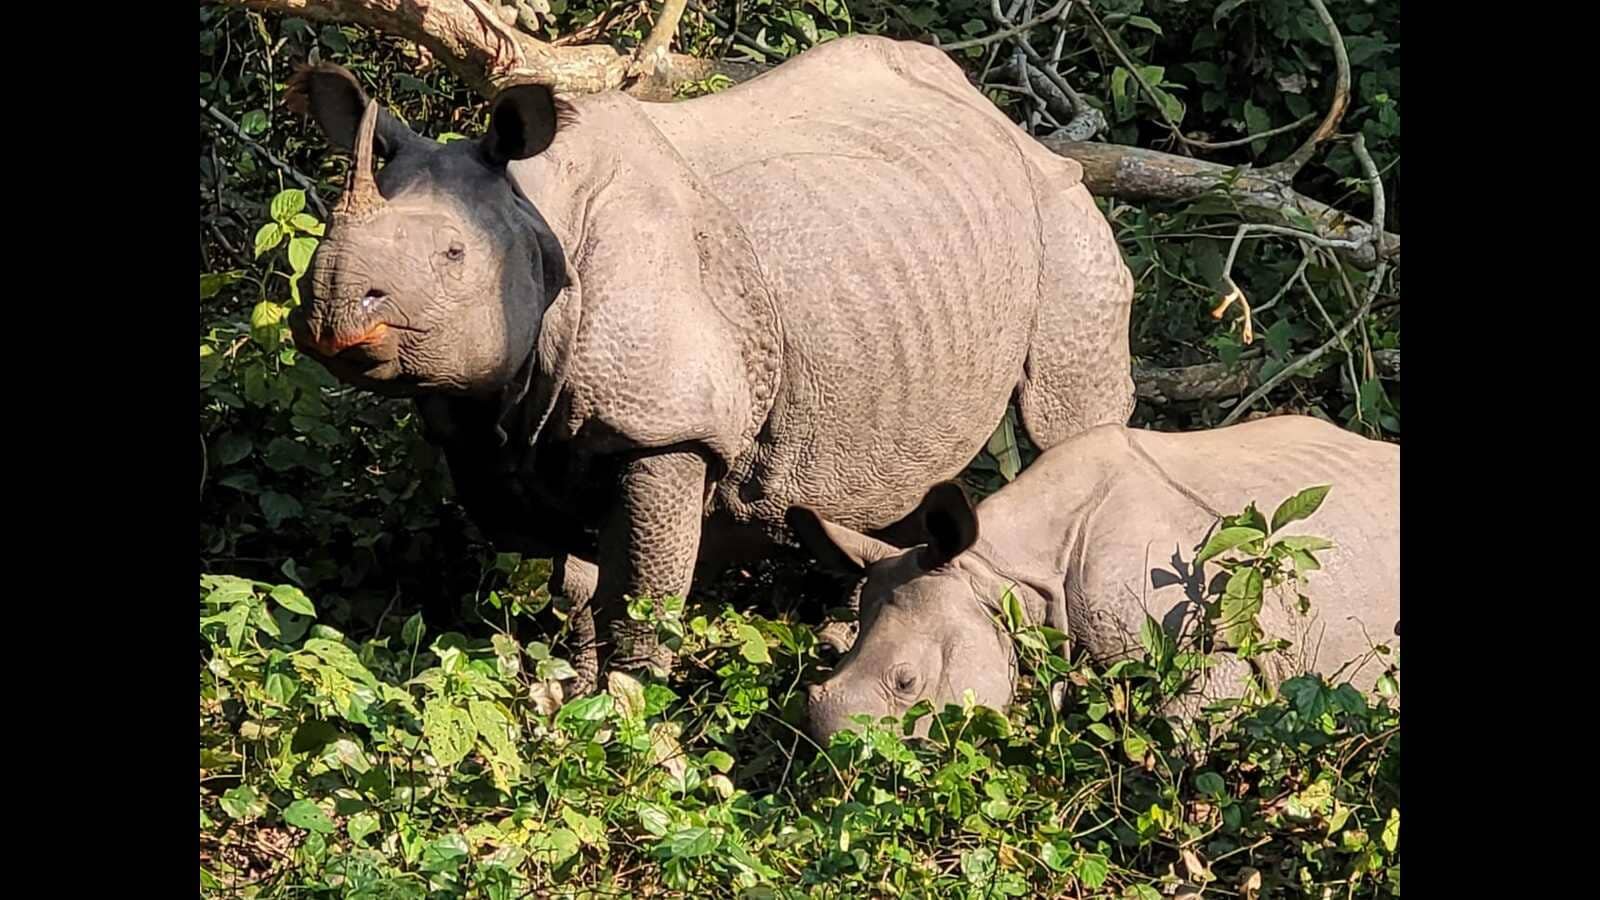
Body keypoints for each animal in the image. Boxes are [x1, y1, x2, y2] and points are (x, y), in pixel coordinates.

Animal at [283, 35, 1135, 686]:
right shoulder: (506, 432)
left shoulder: (666, 425)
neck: (534, 209)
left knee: (1068, 421)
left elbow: (643, 593)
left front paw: (628, 718)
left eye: (455, 255)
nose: (331, 312)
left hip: (1062, 210)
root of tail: (1000, 116)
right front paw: (569, 700)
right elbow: (579, 588)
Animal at [791, 415, 1400, 742]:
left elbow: (1176, 729)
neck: (998, 572)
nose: (850, 769)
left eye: (907, 682)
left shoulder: (1234, 638)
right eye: (826, 652)